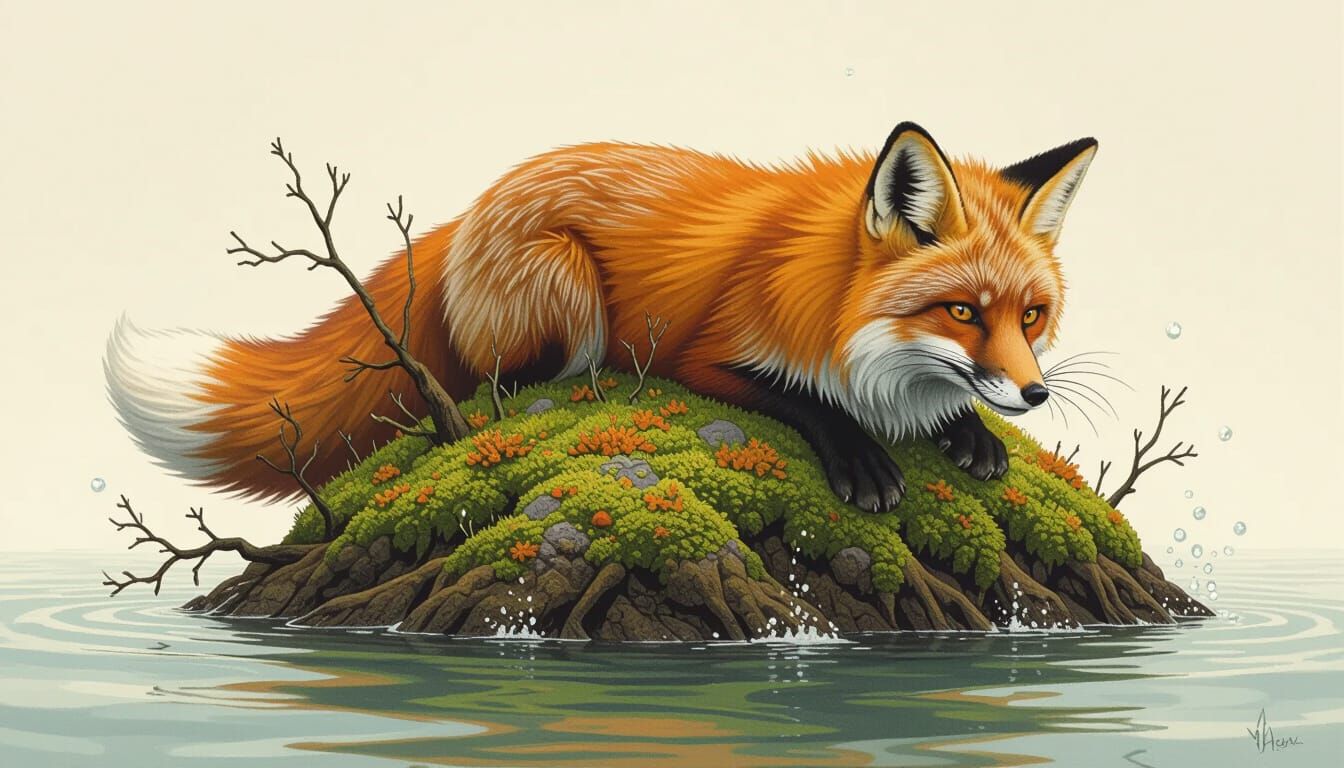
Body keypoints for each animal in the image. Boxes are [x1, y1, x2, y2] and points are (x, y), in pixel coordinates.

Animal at [105, 121, 1096, 514]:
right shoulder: (709, 352)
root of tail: (475, 207)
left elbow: (942, 408)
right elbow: (807, 400)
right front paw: (864, 458)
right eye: (961, 310)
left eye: (1032, 316)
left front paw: (971, 435)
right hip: (570, 286)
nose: (1036, 397)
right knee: (503, 383)